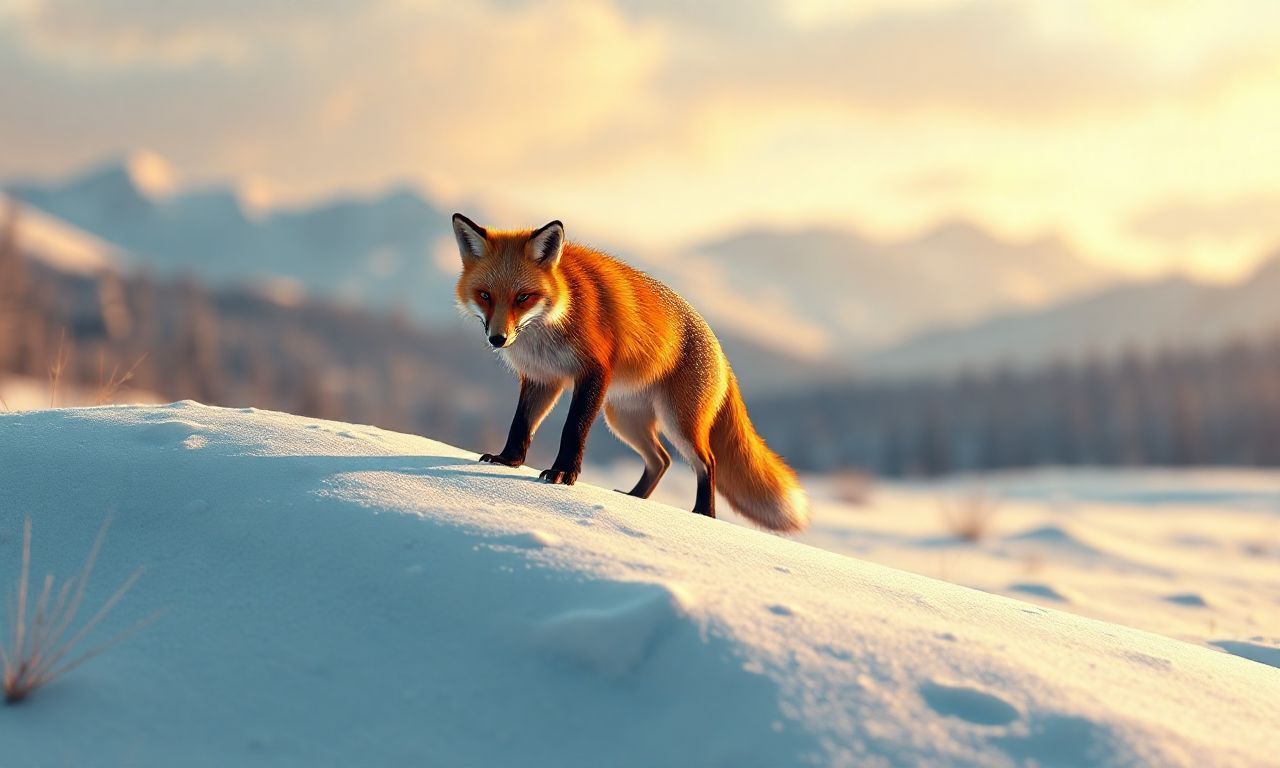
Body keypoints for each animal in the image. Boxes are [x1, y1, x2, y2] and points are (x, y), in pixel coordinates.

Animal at [451, 213, 809, 532]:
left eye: (524, 297)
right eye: (485, 295)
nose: (498, 339)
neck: (559, 314)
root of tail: (720, 352)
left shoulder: (593, 373)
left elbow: (573, 429)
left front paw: (563, 474)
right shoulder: (543, 378)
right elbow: (521, 426)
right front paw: (508, 460)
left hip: (678, 422)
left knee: (708, 461)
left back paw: (703, 515)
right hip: (623, 419)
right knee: (662, 460)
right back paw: (636, 498)